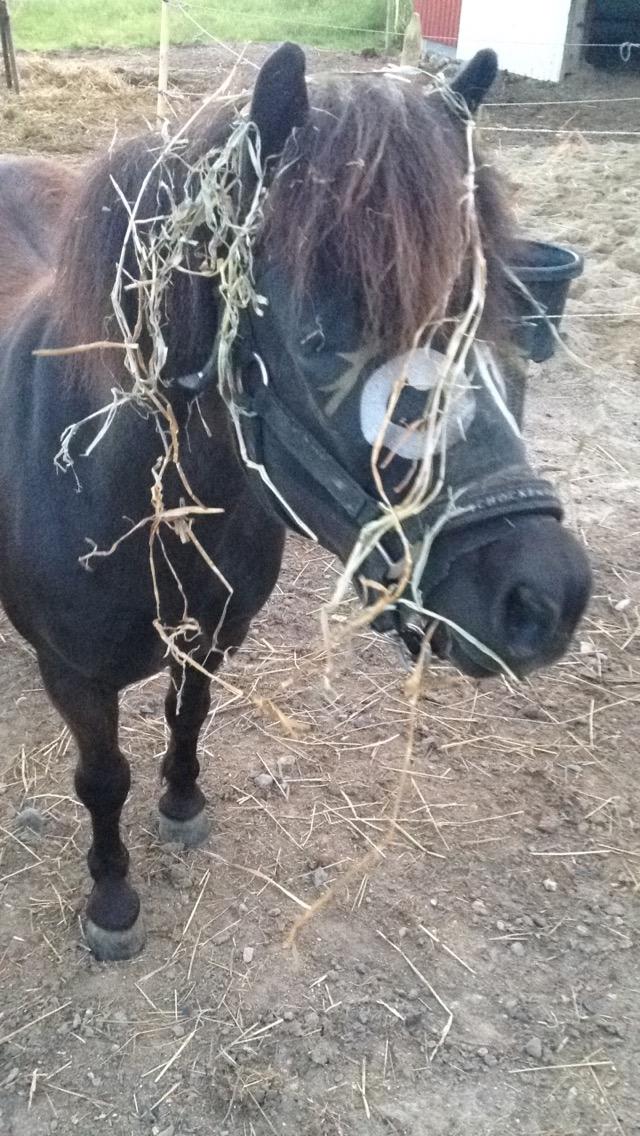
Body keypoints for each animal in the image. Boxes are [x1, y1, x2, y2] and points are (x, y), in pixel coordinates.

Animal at [0, 51, 591, 958]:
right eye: (316, 340)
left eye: (481, 317)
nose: (546, 597)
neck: (136, 506)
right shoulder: (78, 678)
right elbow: (102, 780)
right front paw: (112, 900)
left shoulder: (214, 636)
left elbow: (188, 715)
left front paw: (182, 804)